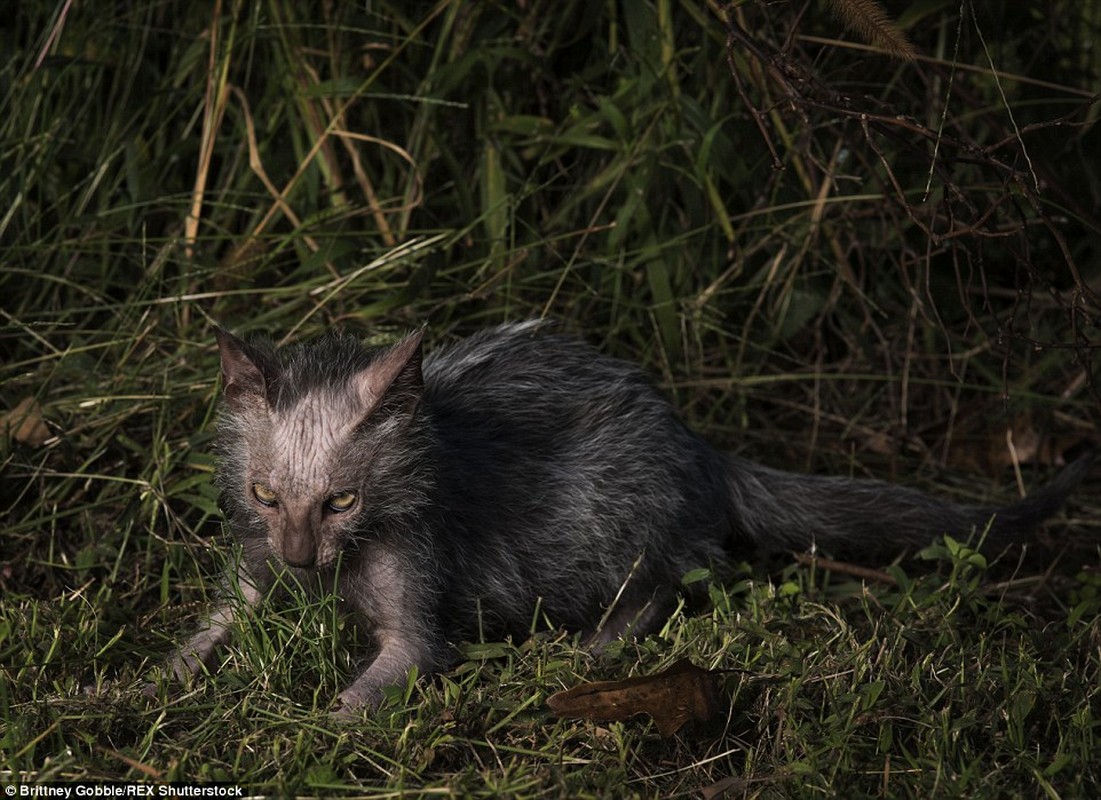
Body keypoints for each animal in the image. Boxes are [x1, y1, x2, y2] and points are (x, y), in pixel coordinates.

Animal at [167, 321, 1096, 717]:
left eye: (343, 501)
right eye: (265, 496)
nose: (300, 562)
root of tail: (697, 446)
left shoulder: (417, 619)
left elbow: (374, 687)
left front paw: (306, 732)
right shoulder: (250, 566)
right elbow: (210, 630)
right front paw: (142, 687)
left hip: (605, 513)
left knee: (669, 580)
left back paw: (589, 650)